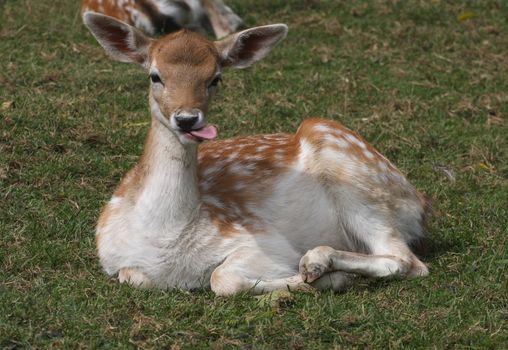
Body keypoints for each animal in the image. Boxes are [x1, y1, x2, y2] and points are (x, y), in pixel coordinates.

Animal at [83, 10, 428, 296]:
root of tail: (420, 203)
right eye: (155, 76)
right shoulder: (115, 261)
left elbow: (221, 279)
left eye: (215, 78)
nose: (187, 119)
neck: (165, 238)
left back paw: (319, 260)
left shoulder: (261, 240)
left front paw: (327, 279)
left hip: (359, 183)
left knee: (407, 261)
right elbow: (133, 276)